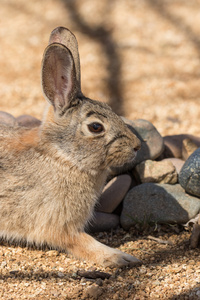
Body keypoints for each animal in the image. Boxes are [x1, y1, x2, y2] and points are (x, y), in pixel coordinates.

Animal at [0, 27, 142, 268]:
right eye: (96, 127)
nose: (137, 146)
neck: (63, 157)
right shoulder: (58, 224)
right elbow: (83, 243)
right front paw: (121, 257)